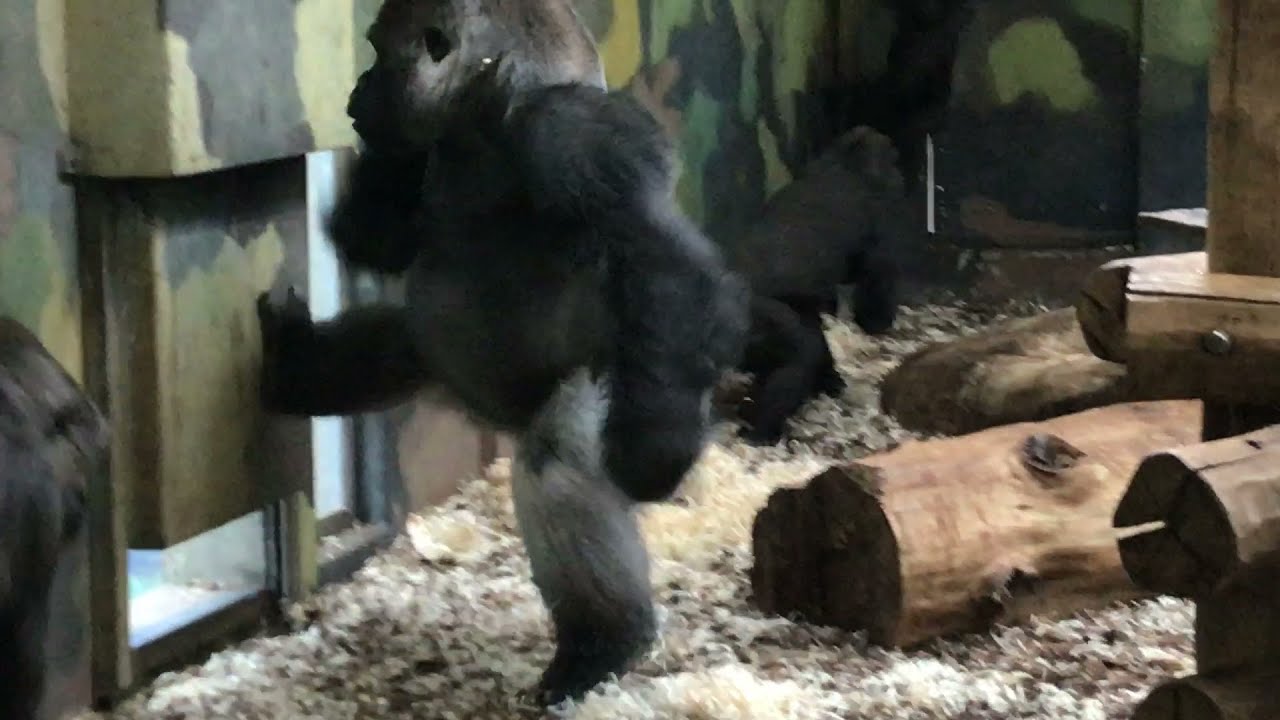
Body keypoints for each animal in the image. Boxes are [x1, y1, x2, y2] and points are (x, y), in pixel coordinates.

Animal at [255, 0, 749, 706]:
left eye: (378, 52)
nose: (358, 92)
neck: (489, 106)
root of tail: (496, 419)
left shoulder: (572, 132)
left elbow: (663, 258)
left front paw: (656, 452)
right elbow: (375, 239)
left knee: (558, 458)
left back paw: (601, 644)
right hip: (442, 368)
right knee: (395, 339)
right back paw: (294, 367)